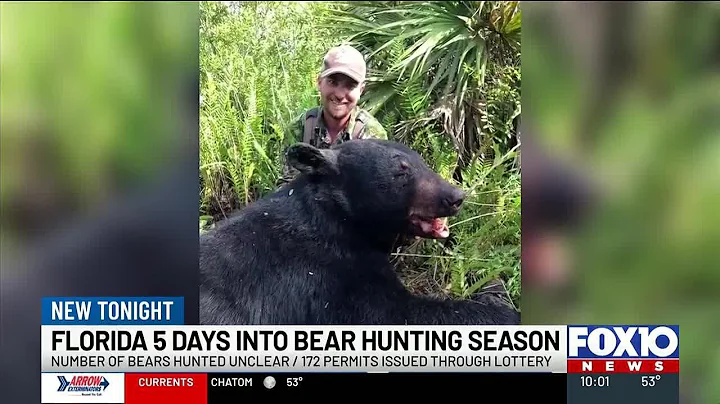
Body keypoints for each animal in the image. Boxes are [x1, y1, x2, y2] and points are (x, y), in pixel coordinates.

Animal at [199, 139, 520, 325]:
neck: (343, 221)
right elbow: (396, 314)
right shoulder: (329, 280)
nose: (455, 196)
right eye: (401, 171)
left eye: (422, 161)